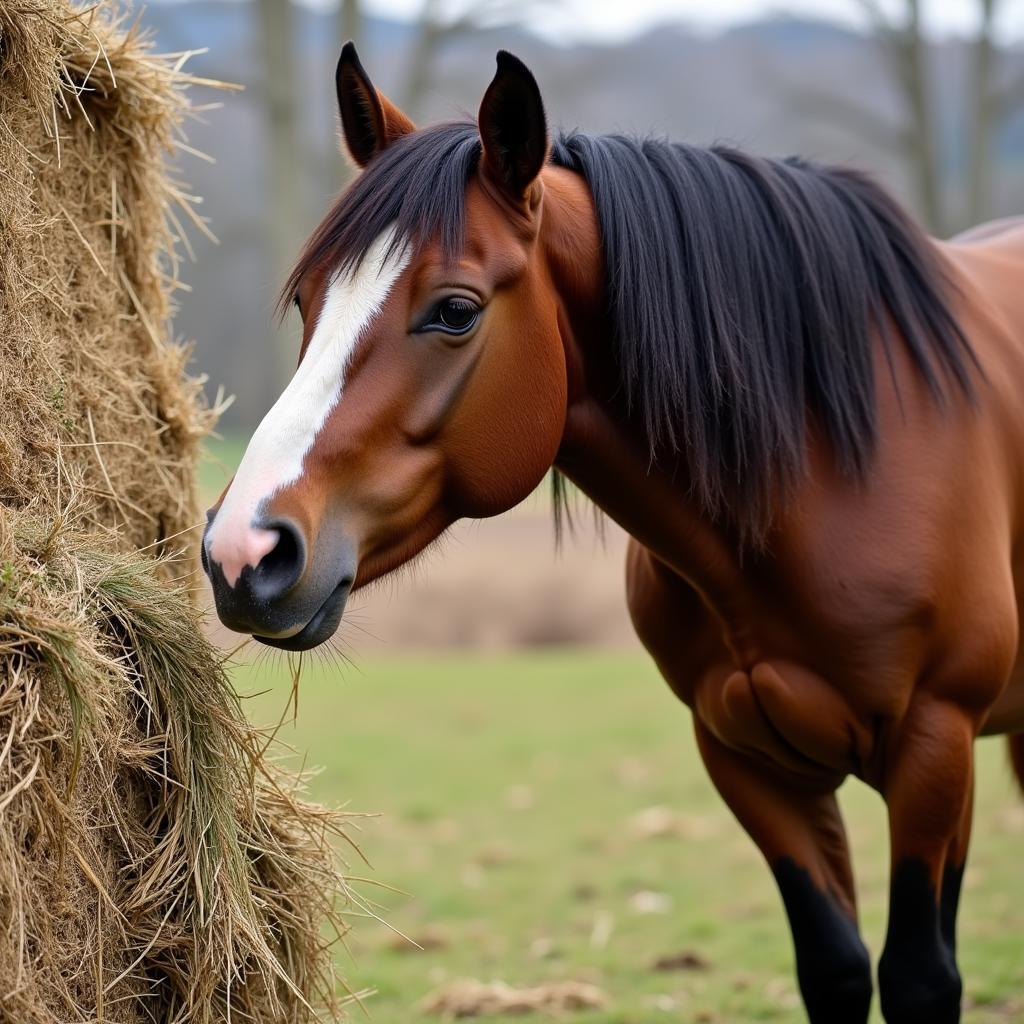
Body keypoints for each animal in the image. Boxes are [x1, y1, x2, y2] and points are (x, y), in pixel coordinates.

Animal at [203, 46, 1024, 1024]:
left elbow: (920, 977)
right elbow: (834, 967)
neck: (833, 466)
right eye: (308, 302)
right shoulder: (748, 759)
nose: (242, 553)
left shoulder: (935, 750)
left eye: (455, 310)